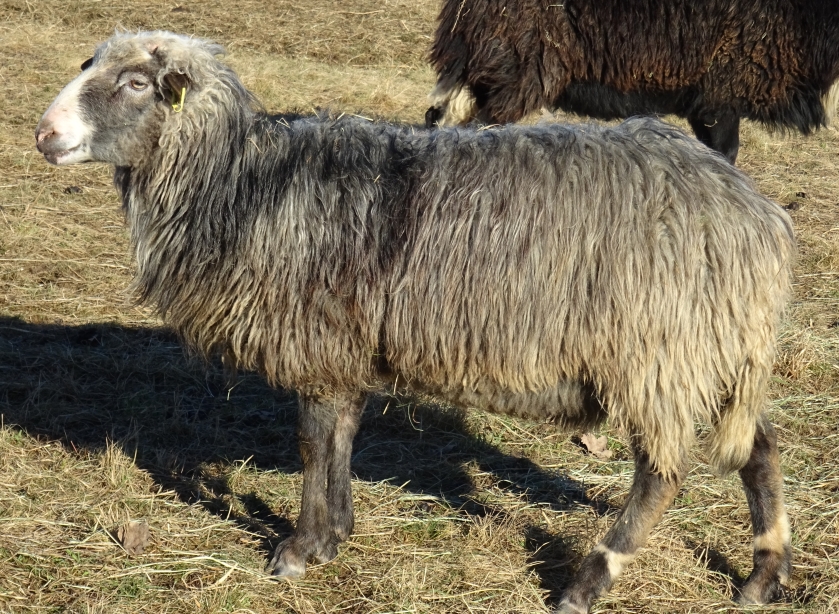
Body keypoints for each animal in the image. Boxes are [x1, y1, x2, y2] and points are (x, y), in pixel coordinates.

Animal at [36, 31, 796, 612]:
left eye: (137, 82)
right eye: (88, 64)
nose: (44, 133)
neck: (240, 185)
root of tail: (753, 214)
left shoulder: (317, 342)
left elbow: (313, 442)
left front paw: (298, 549)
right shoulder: (343, 348)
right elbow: (340, 438)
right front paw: (333, 535)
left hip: (657, 354)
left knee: (663, 476)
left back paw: (588, 580)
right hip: (713, 352)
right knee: (757, 448)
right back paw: (763, 574)